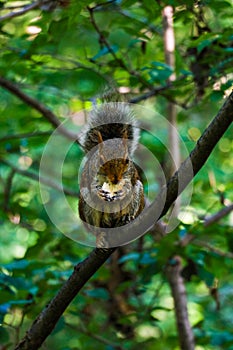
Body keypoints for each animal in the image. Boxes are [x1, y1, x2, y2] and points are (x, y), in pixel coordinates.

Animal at [78, 102, 144, 247]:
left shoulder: (130, 174)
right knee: (96, 228)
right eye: (101, 160)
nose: (115, 179)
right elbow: (92, 186)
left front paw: (123, 191)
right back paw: (100, 237)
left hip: (138, 193)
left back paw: (125, 218)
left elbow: (129, 185)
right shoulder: (91, 174)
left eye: (127, 160)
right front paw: (98, 192)